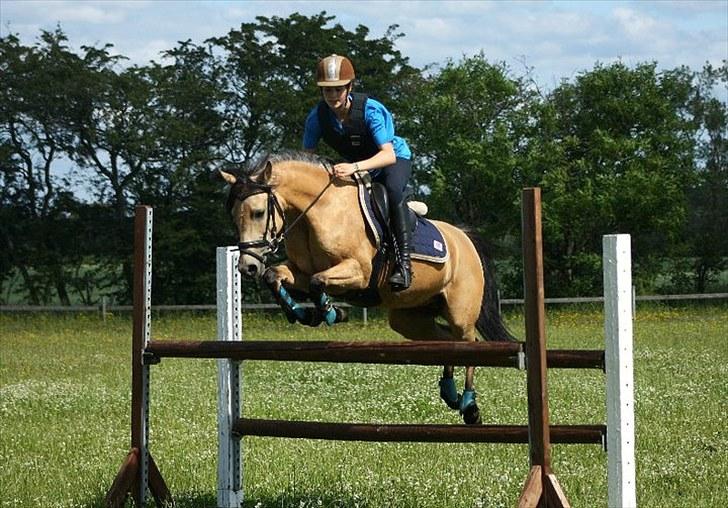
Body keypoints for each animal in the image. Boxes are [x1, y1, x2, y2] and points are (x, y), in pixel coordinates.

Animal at [220, 151, 515, 425]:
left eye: (258, 213)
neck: (320, 211)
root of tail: (463, 237)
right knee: (445, 341)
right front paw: (305, 314)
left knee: (468, 342)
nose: (247, 267)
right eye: (233, 216)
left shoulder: (358, 273)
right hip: (410, 319)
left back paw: (469, 405)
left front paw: (331, 313)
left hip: (460, 312)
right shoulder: (300, 271)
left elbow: (318, 281)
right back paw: (450, 393)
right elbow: (276, 276)